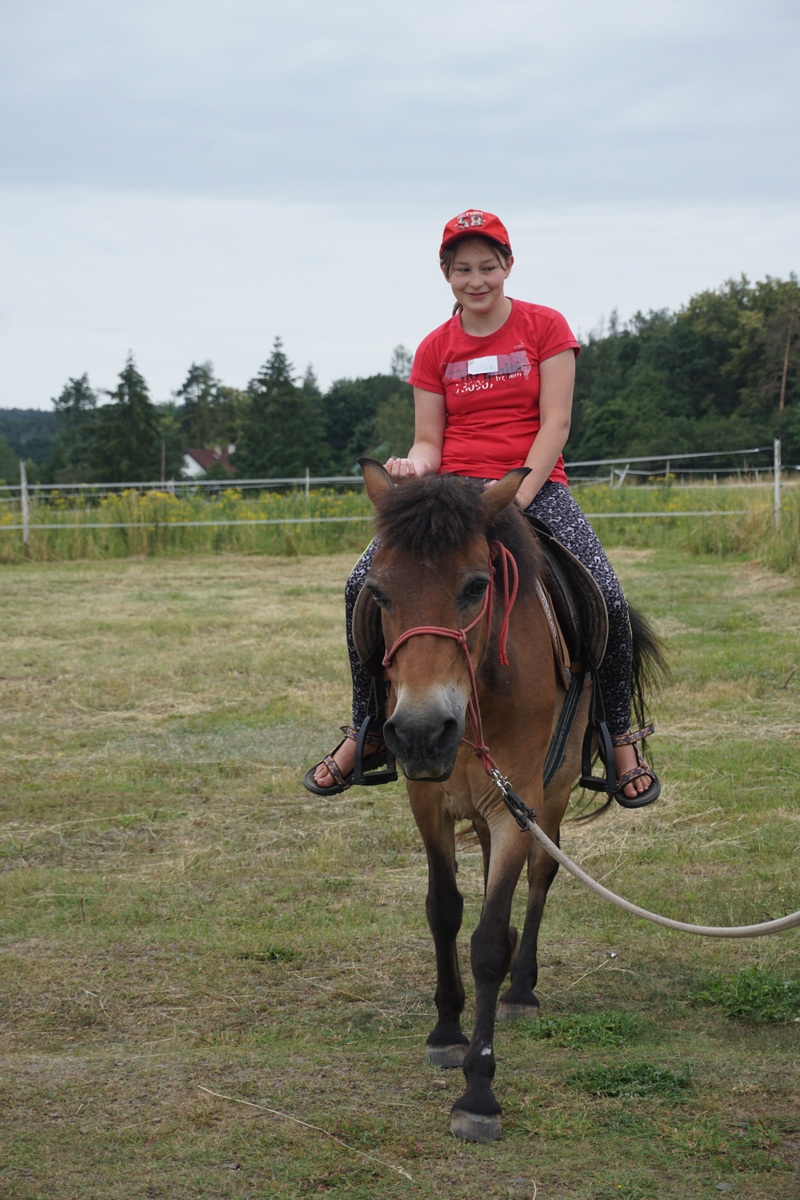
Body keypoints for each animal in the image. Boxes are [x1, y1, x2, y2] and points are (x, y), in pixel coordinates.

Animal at [357, 458, 664, 1142]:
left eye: (476, 586)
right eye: (380, 595)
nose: (420, 731)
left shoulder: (515, 804)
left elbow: (490, 940)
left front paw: (479, 1092)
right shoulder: (429, 802)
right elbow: (444, 911)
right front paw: (447, 1031)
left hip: (551, 797)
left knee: (542, 876)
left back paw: (522, 990)